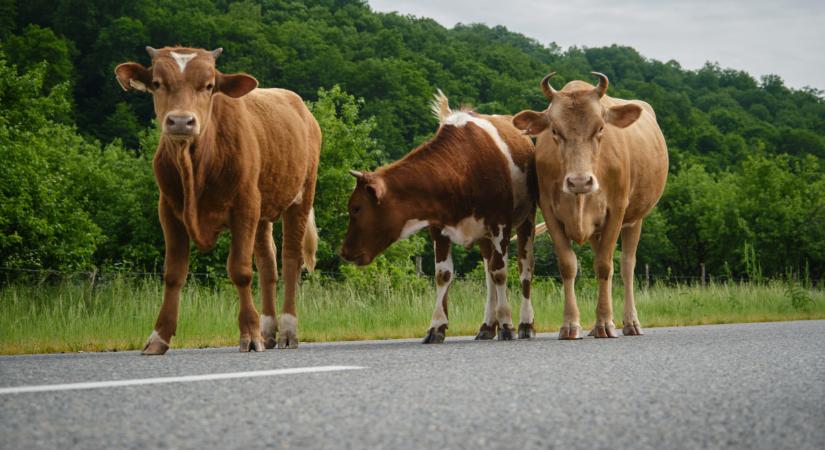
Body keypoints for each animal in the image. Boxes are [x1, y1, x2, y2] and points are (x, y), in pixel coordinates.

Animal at [114, 46, 320, 356]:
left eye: (209, 86)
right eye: (157, 83)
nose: (181, 121)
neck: (196, 166)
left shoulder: (245, 206)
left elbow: (240, 270)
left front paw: (250, 334)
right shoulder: (168, 209)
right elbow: (173, 273)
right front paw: (159, 337)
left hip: (301, 197)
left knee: (291, 260)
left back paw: (287, 331)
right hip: (264, 211)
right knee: (268, 265)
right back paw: (268, 330)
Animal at [516, 72, 668, 340]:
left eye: (601, 128)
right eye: (555, 130)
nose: (579, 181)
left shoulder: (616, 211)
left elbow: (605, 266)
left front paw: (605, 323)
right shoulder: (550, 212)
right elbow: (568, 265)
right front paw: (570, 324)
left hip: (635, 219)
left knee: (626, 265)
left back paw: (630, 322)